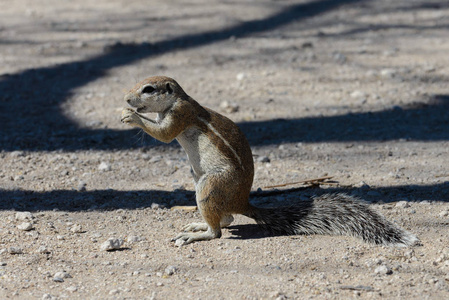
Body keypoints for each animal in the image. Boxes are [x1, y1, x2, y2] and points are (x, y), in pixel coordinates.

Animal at [121, 76, 418, 247]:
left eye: (148, 89)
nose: (126, 98)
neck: (177, 99)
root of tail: (242, 201)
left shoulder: (180, 113)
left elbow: (164, 134)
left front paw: (132, 116)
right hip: (198, 181)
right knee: (226, 219)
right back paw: (198, 225)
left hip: (209, 185)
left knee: (218, 230)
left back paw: (197, 234)